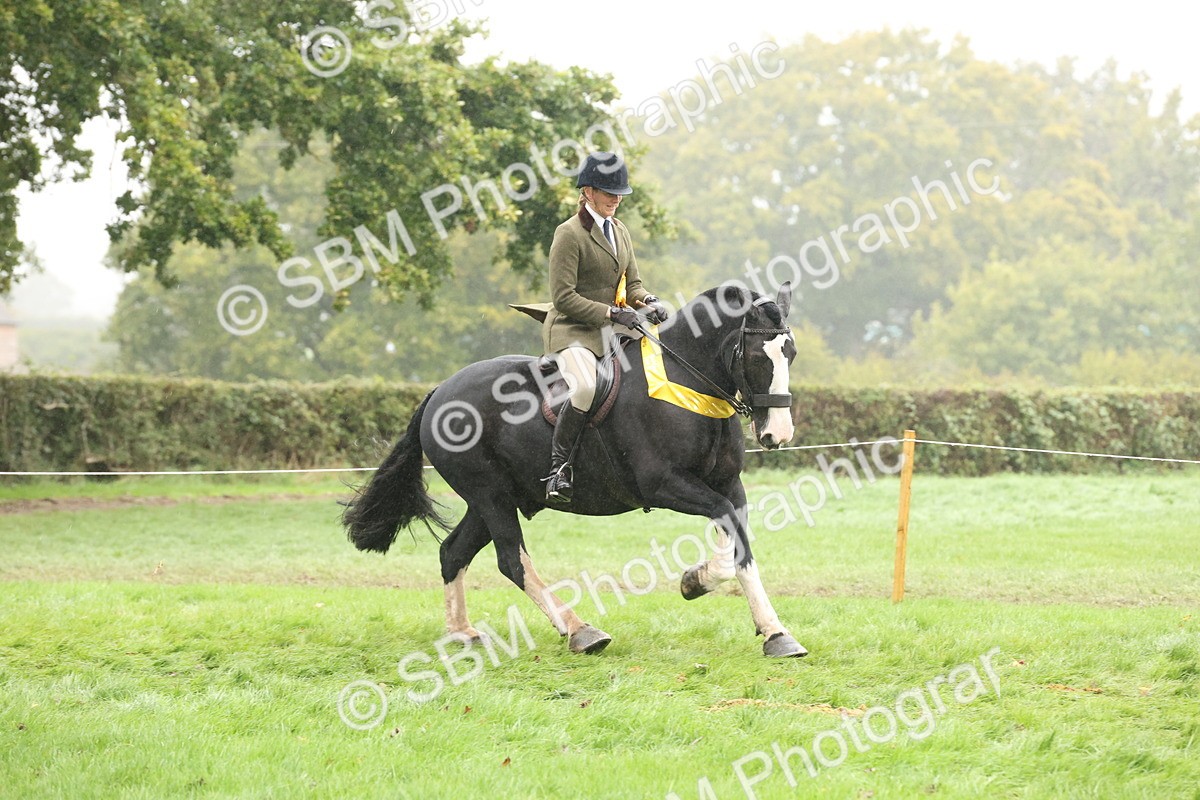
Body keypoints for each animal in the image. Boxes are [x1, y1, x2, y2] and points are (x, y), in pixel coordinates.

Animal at [342, 283, 808, 658]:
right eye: (756, 356)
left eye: (790, 354)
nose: (778, 433)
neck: (686, 381)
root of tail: (440, 391)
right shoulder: (664, 485)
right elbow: (728, 532)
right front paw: (696, 581)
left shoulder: (728, 484)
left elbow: (739, 544)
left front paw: (773, 632)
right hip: (490, 496)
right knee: (511, 560)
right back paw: (580, 631)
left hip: (494, 498)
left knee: (453, 553)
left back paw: (462, 634)